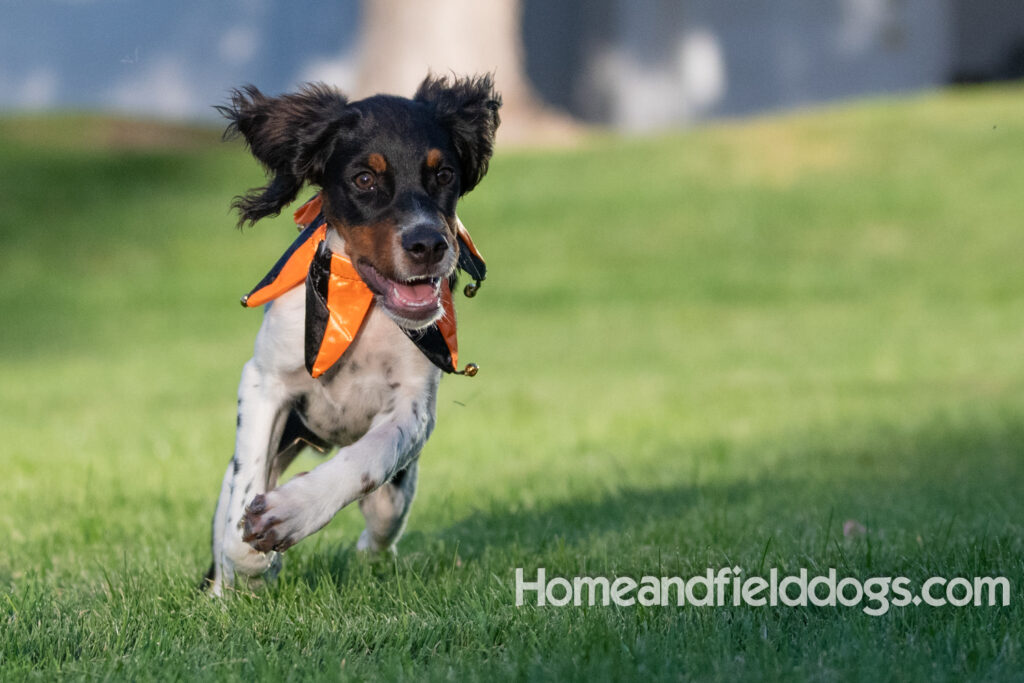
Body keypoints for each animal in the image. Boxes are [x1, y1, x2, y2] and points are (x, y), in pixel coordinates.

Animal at [202, 76, 499, 598]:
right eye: (364, 179)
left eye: (444, 175)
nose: (429, 244)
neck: (362, 304)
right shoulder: (263, 381)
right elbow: (245, 491)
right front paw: (253, 561)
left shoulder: (413, 408)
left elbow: (368, 459)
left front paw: (290, 512)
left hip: (393, 495)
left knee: (381, 518)